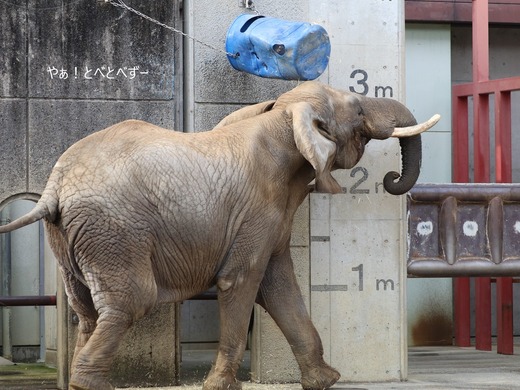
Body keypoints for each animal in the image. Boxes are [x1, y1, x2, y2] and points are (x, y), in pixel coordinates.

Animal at [0, 80, 438, 388]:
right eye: (360, 108)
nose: (391, 177)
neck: (282, 116)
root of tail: (55, 186)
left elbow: (279, 287)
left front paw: (325, 381)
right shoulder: (255, 212)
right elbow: (240, 282)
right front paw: (220, 386)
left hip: (70, 237)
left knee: (86, 310)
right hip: (114, 232)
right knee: (130, 302)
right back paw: (88, 383)